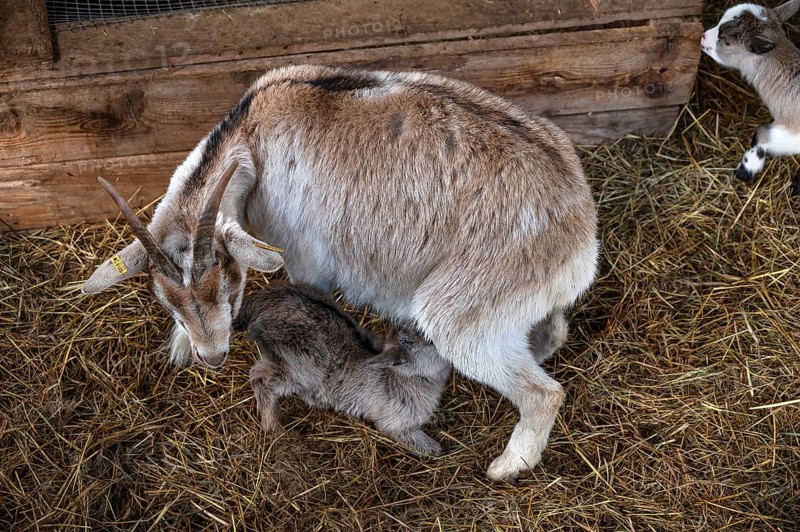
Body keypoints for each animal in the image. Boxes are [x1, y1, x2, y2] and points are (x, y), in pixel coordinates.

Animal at [233, 282, 451, 456]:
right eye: (430, 341)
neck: (405, 377)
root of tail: (266, 300)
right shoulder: (395, 422)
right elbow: (425, 445)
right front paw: (436, 448)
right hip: (303, 366)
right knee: (261, 378)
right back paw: (274, 427)